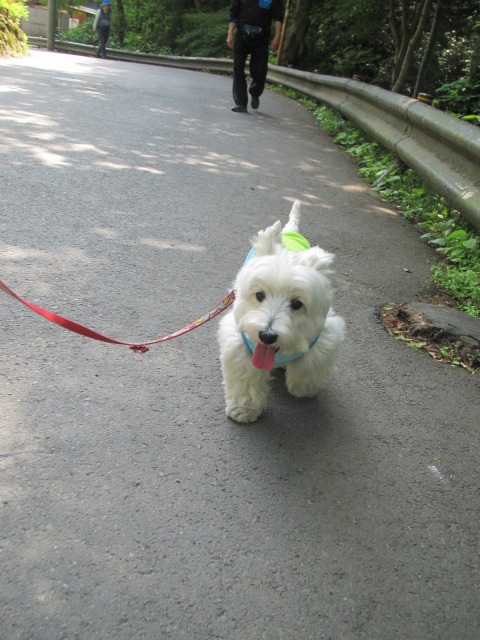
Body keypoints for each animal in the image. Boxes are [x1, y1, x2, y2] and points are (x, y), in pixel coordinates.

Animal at [218, 198, 344, 422]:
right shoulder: (238, 342)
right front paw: (243, 409)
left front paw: (302, 388)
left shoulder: (325, 337)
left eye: (296, 304)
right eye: (259, 295)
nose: (266, 336)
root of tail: (289, 231)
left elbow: (309, 366)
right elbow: (246, 379)